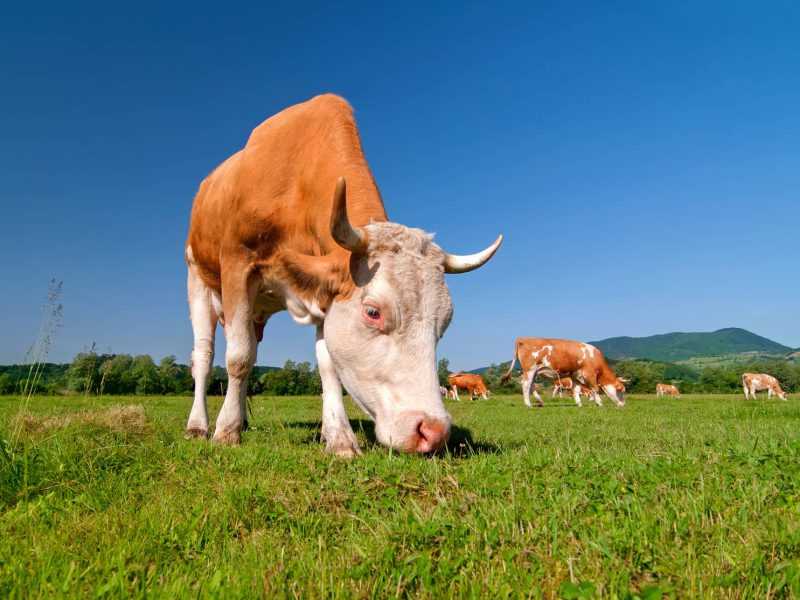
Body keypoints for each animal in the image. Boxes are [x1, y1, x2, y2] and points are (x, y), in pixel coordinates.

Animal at [184, 95, 502, 456]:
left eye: (445, 322)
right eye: (373, 312)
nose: (433, 431)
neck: (296, 181)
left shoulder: (325, 289)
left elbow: (328, 364)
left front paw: (339, 438)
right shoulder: (238, 262)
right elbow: (238, 356)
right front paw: (227, 431)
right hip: (198, 278)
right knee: (204, 357)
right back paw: (199, 425)